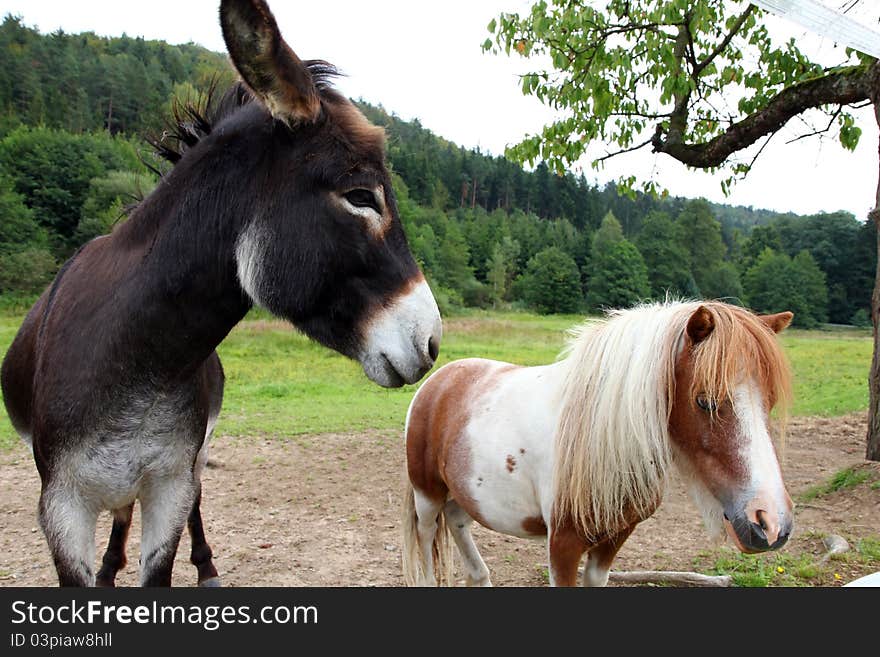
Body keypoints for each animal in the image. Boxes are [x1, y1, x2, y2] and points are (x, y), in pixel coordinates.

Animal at [402, 300, 796, 588]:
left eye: (770, 401)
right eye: (705, 401)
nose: (770, 522)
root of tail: (439, 379)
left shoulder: (614, 539)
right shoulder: (562, 545)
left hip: (467, 494)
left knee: (457, 522)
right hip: (427, 495)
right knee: (427, 536)